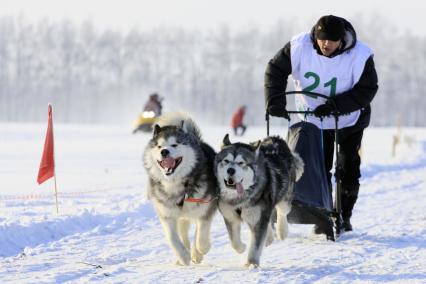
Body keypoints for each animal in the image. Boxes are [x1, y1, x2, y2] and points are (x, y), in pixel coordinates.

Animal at [143, 112, 218, 266]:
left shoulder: (206, 208)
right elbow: (172, 238)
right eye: (159, 146)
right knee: (183, 233)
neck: (176, 185)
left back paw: (195, 252)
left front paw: (201, 250)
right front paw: (183, 256)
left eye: (174, 144)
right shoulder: (166, 214)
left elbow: (201, 235)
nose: (164, 151)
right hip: (181, 216)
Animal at [216, 134, 302, 268]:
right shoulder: (230, 216)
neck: (240, 198)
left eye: (241, 163)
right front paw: (242, 247)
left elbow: (256, 246)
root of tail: (275, 139)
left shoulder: (258, 218)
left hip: (284, 197)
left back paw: (282, 231)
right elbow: (234, 241)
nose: (230, 170)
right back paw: (269, 238)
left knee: (282, 212)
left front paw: (252, 263)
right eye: (226, 161)